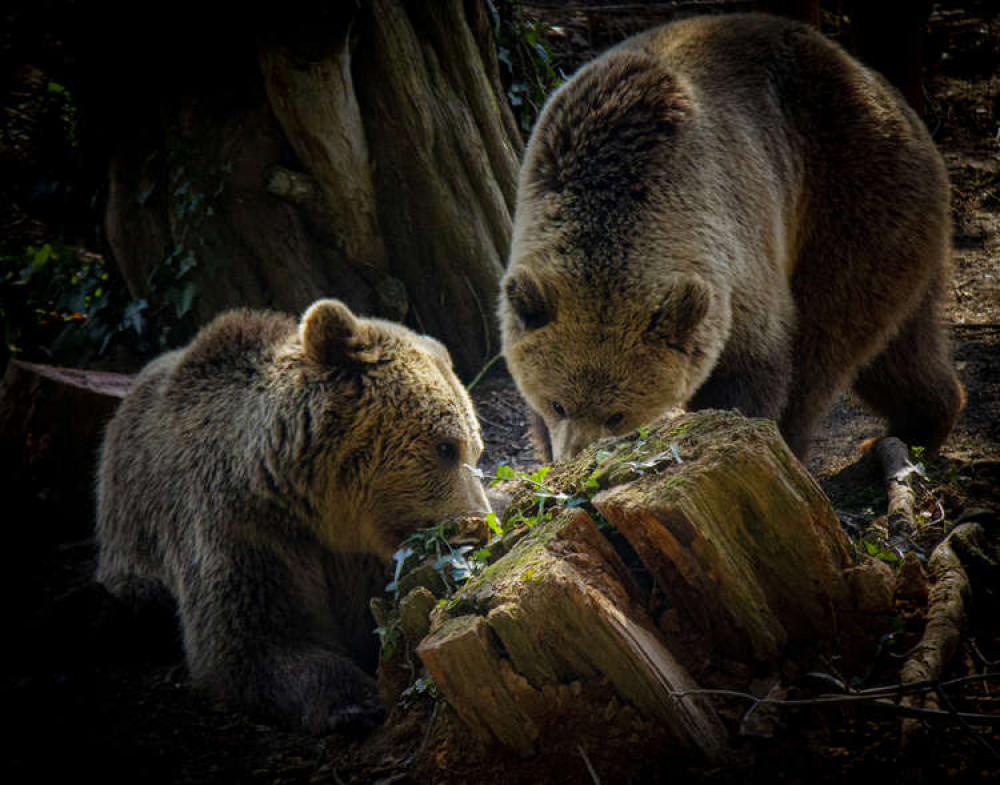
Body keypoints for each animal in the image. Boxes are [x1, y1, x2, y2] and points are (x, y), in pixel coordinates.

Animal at [95, 298, 490, 732]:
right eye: (446, 447)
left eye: (477, 450)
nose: (475, 527)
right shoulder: (244, 528)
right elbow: (254, 638)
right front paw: (355, 700)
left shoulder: (358, 557)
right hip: (128, 546)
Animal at [504, 12, 964, 462]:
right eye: (557, 403)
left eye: (617, 413)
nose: (574, 457)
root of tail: (894, 101)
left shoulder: (734, 247)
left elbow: (753, 367)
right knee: (900, 347)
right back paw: (918, 427)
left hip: (851, 202)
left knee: (825, 340)